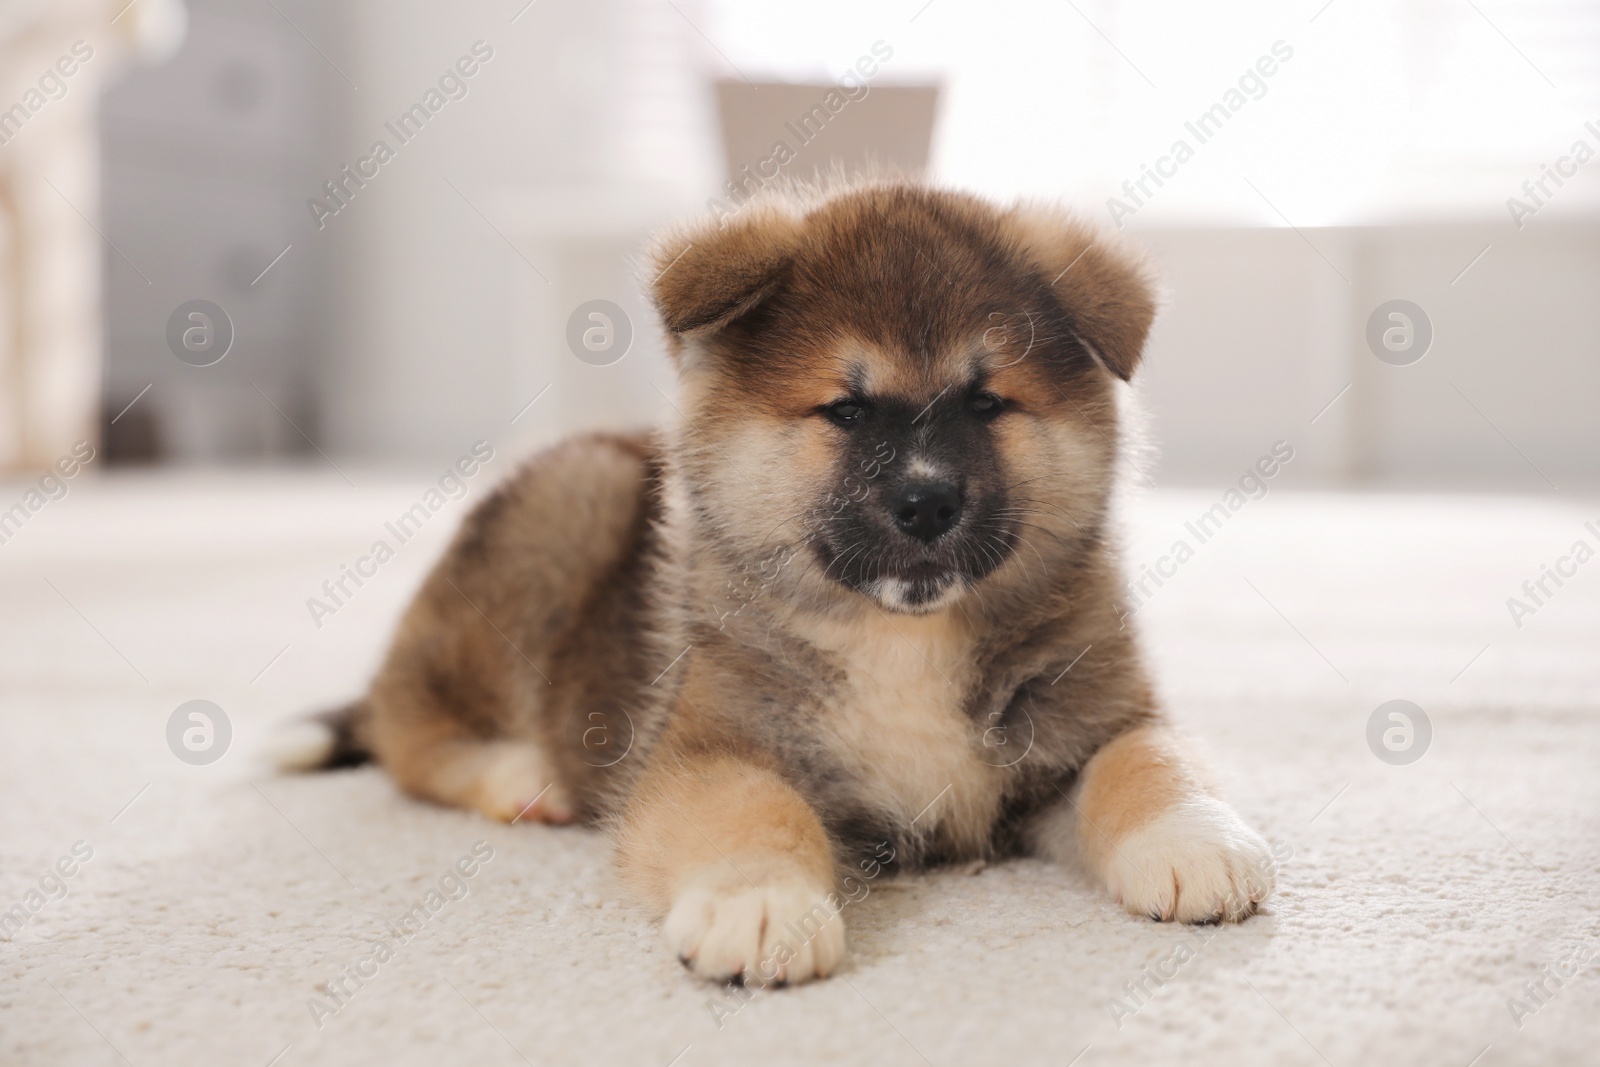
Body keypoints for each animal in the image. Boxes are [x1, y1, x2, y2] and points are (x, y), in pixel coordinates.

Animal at [281, 181, 1280, 985]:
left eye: (986, 402)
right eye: (846, 410)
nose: (927, 500)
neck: (903, 640)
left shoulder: (1090, 721)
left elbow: (1145, 760)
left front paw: (1192, 838)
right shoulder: (710, 748)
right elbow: (756, 811)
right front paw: (760, 904)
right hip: (572, 500)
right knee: (410, 728)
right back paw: (521, 774)